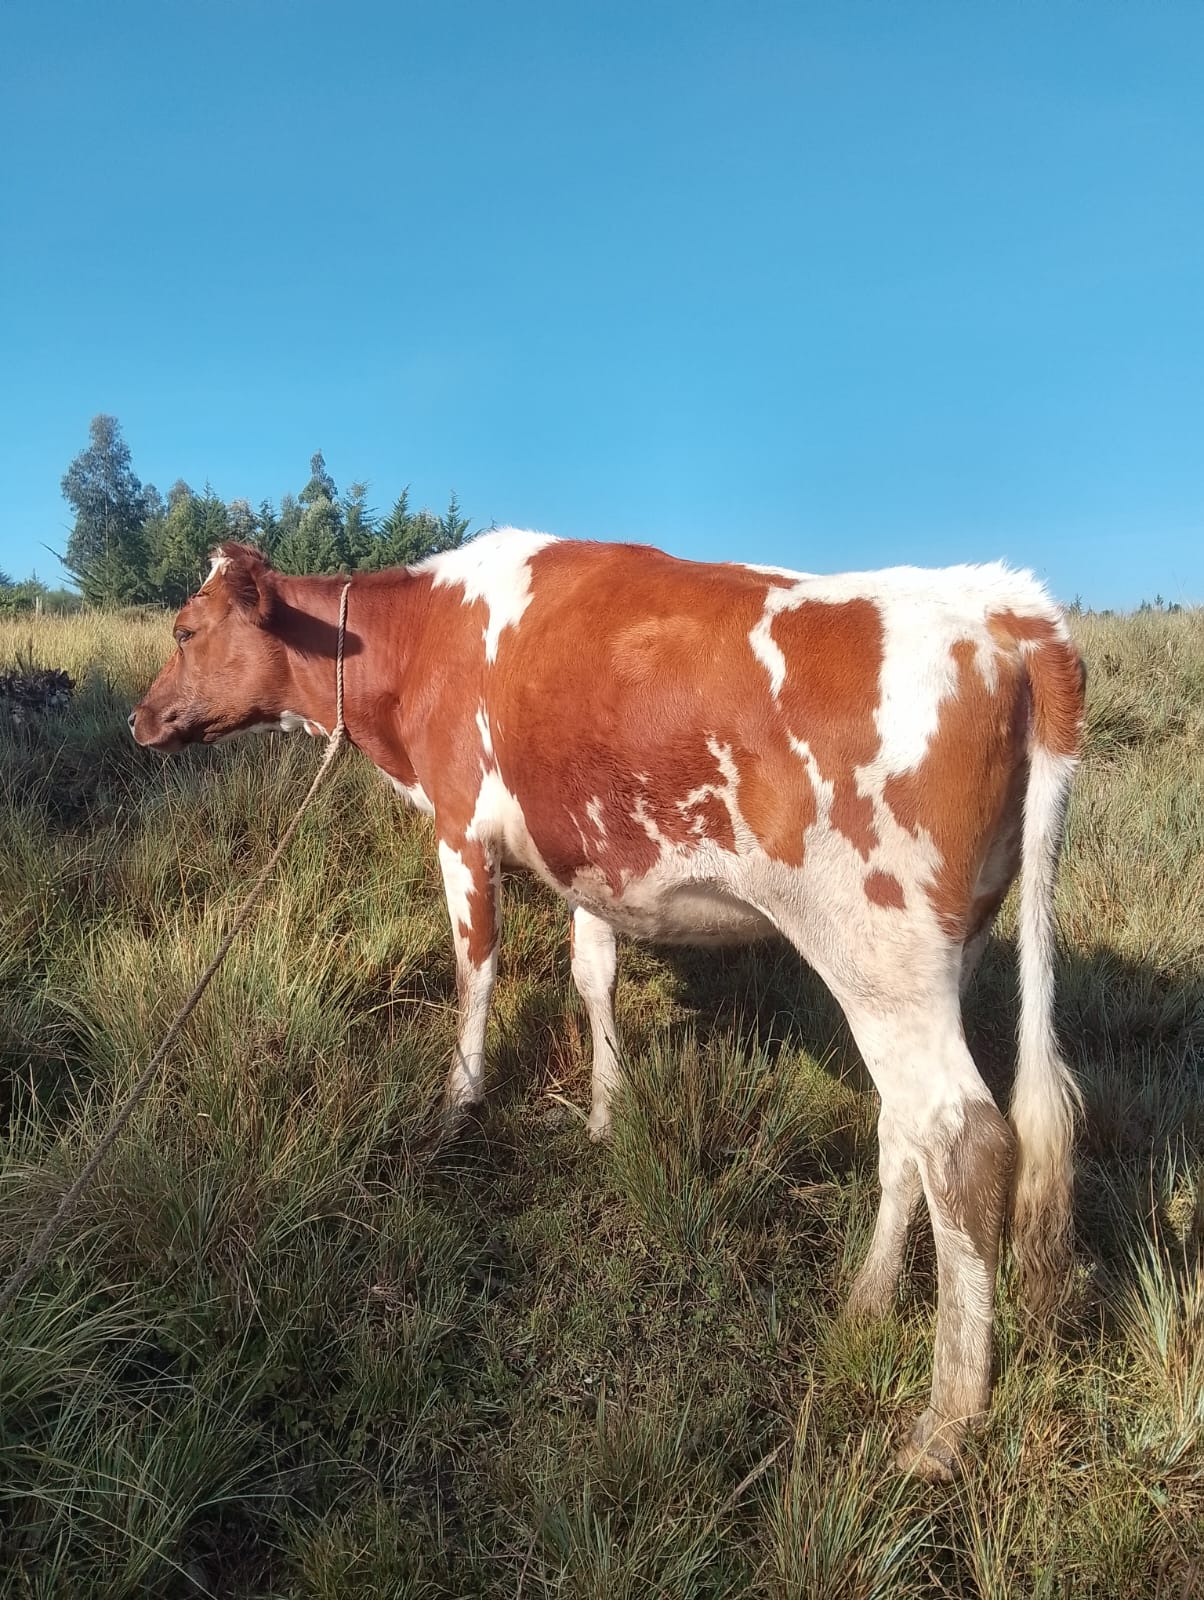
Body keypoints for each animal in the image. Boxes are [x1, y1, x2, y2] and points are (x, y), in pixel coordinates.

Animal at [130, 528, 1085, 1480]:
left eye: (184, 631)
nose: (140, 719)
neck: (422, 633)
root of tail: (1008, 609)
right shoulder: (588, 859)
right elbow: (594, 975)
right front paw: (604, 1110)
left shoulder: (460, 826)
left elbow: (475, 972)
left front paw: (458, 1106)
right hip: (945, 954)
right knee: (905, 1133)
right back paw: (868, 1299)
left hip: (879, 953)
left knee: (963, 1142)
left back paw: (945, 1420)